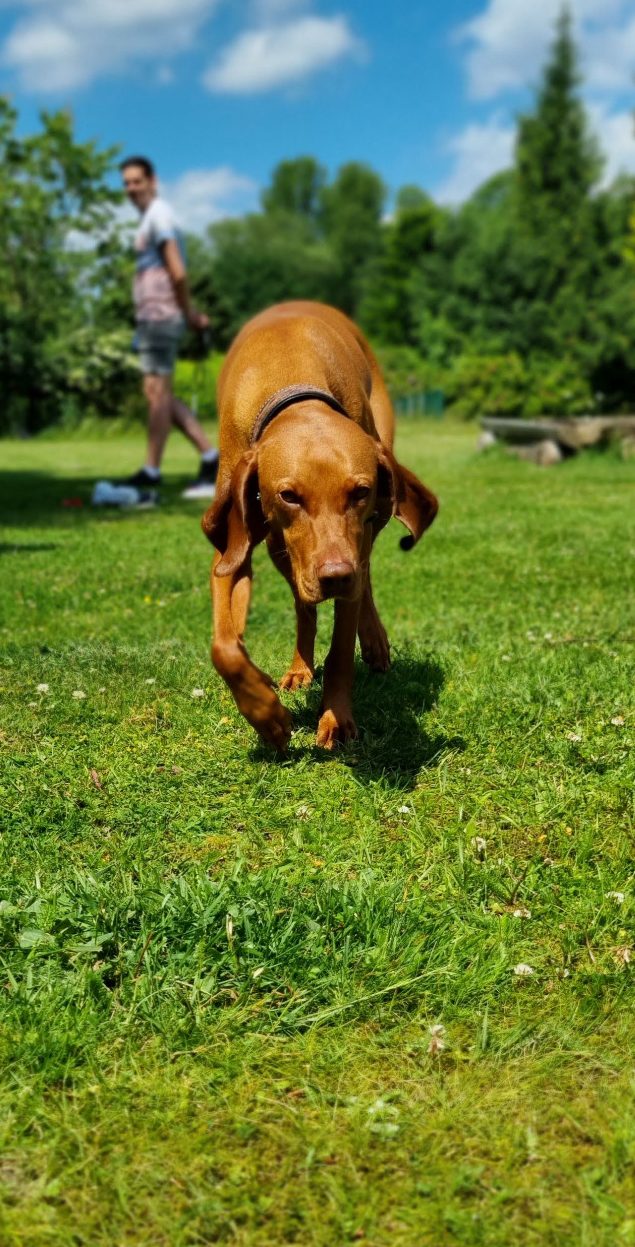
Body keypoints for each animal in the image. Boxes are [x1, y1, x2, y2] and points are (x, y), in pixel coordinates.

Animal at [202, 301, 436, 748]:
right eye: (289, 495)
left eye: (360, 491)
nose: (334, 576)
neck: (291, 375)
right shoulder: (232, 546)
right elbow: (224, 648)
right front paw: (266, 715)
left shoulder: (356, 541)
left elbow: (342, 647)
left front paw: (336, 718)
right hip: (280, 549)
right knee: (303, 603)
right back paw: (300, 667)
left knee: (364, 579)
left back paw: (373, 639)